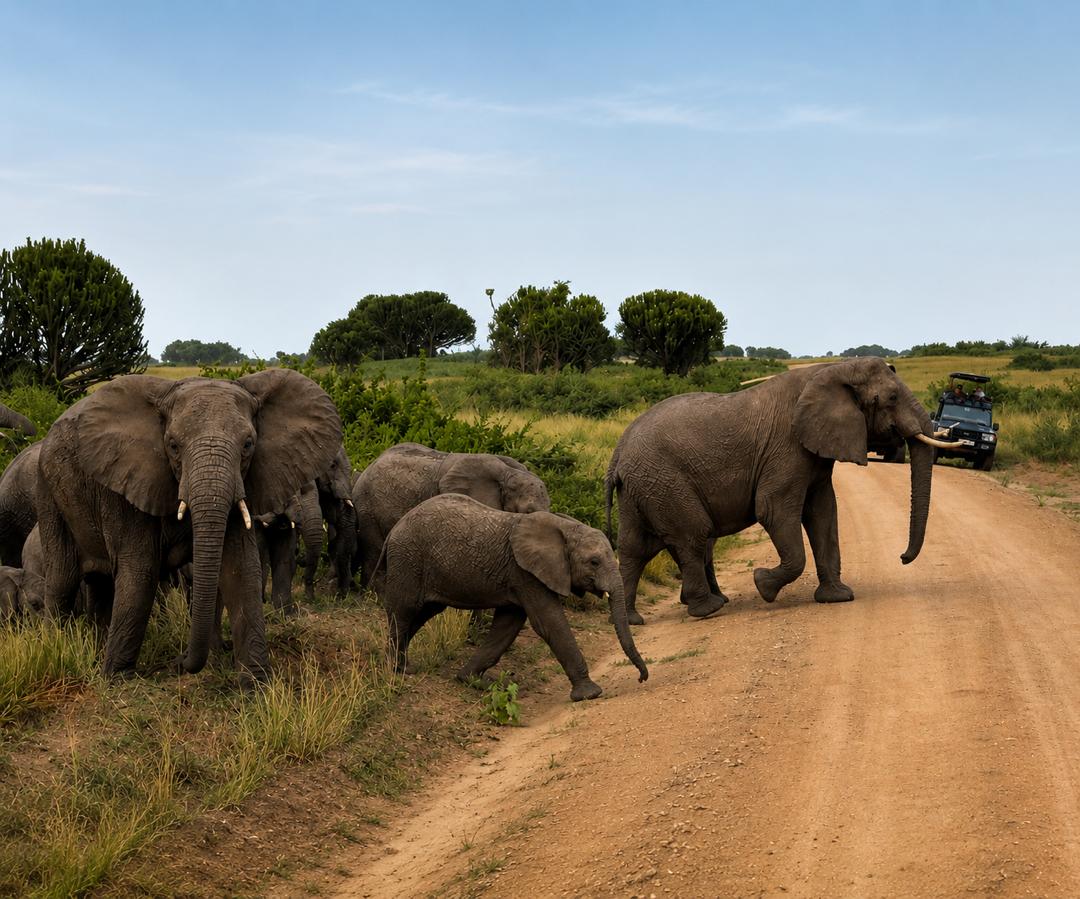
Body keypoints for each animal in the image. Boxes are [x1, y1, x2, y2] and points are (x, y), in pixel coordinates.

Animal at [35, 370, 342, 682]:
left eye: (247, 445)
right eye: (173, 445)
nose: (179, 662)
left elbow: (241, 569)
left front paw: (255, 681)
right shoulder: (126, 484)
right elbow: (140, 572)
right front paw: (119, 679)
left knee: (100, 583)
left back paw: (97, 650)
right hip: (48, 491)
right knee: (62, 578)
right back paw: (57, 647)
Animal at [381, 493, 649, 702]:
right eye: (594, 562)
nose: (641, 679)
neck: (564, 528)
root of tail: (395, 528)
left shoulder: (519, 577)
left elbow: (508, 625)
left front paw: (473, 681)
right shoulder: (525, 572)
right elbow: (549, 622)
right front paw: (590, 694)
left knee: (423, 613)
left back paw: (403, 665)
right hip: (408, 558)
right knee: (405, 610)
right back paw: (400, 670)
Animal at [605, 357, 964, 624]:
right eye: (891, 398)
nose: (902, 558)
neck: (835, 368)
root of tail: (618, 453)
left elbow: (824, 513)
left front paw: (838, 597)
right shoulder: (787, 447)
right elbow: (773, 509)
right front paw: (763, 585)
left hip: (644, 486)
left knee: (635, 547)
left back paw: (632, 620)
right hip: (664, 481)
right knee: (693, 535)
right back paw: (709, 609)